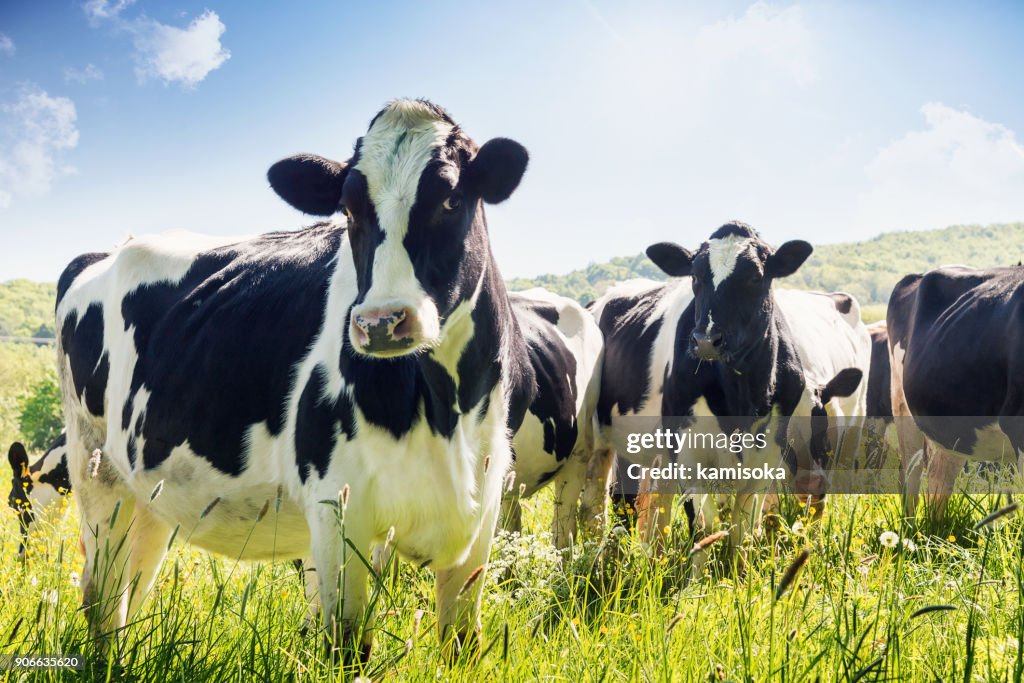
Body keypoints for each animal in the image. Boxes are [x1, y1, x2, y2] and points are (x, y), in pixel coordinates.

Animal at [56, 99, 533, 665]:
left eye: (452, 199)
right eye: (348, 210)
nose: (381, 322)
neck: (446, 409)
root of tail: (107, 251)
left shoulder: (482, 510)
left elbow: (462, 643)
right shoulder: (337, 508)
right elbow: (348, 645)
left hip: (149, 491)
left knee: (132, 588)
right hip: (96, 470)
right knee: (102, 596)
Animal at [592, 222, 870, 568]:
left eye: (755, 277)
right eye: (696, 277)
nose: (706, 340)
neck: (742, 397)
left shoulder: (767, 455)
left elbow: (744, 529)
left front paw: (740, 574)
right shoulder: (687, 451)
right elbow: (705, 527)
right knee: (609, 501)